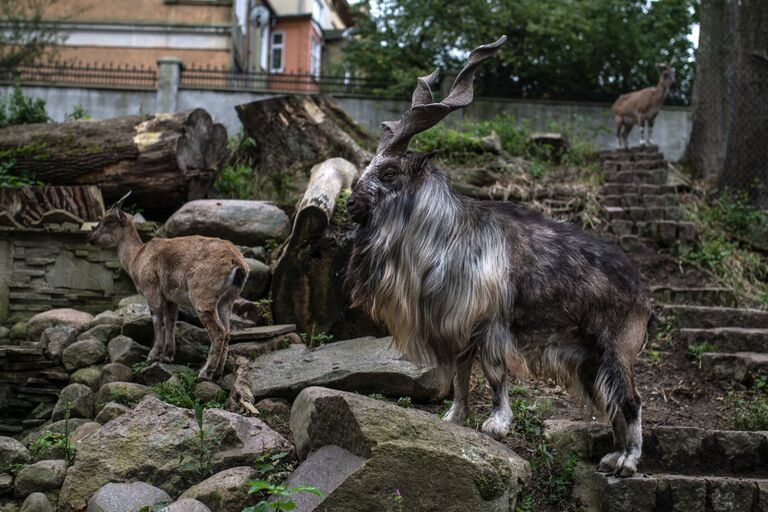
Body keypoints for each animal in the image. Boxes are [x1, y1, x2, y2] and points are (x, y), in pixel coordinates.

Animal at [88, 194, 248, 382]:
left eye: (108, 220)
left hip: (203, 295)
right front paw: (168, 356)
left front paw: (152, 356)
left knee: (219, 332)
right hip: (227, 300)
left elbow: (157, 318)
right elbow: (171, 320)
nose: (90, 238)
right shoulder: (171, 298)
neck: (137, 258)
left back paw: (205, 372)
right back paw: (217, 373)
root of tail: (238, 264)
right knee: (228, 331)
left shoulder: (151, 289)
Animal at [348, 38, 656, 478]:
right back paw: (613, 455)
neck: (449, 235)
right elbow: (460, 376)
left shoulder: (490, 324)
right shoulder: (454, 326)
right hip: (591, 357)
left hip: (618, 347)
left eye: (389, 172)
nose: (350, 205)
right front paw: (454, 418)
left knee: (631, 399)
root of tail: (643, 296)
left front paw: (496, 424)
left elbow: (494, 374)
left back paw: (628, 462)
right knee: (611, 400)